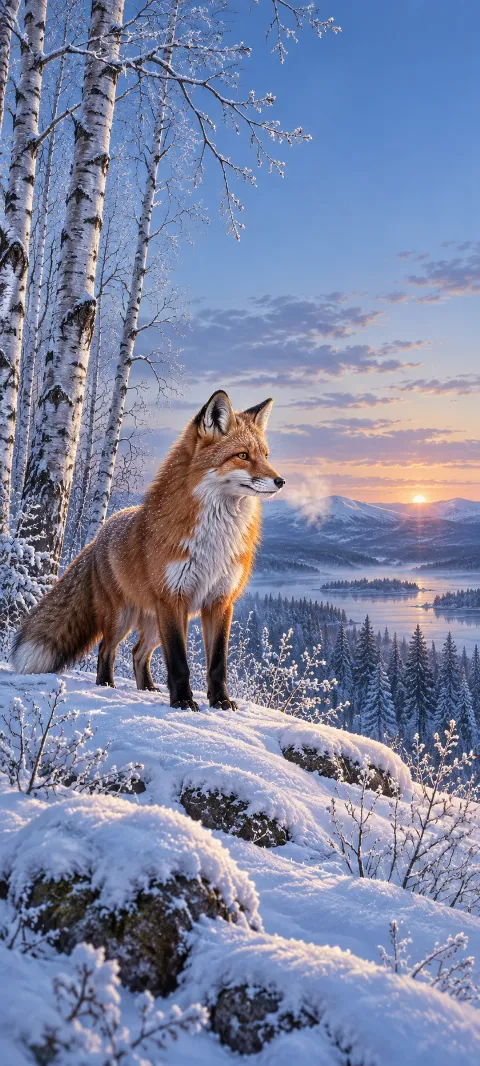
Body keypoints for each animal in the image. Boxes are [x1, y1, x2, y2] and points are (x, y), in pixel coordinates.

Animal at [11, 390, 285, 711]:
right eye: (243, 455)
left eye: (265, 455)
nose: (281, 481)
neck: (215, 539)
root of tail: (101, 533)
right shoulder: (173, 599)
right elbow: (179, 662)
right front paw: (183, 702)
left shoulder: (220, 601)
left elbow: (218, 663)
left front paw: (220, 701)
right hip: (123, 617)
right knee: (107, 649)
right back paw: (106, 684)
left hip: (154, 624)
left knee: (137, 652)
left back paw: (148, 688)